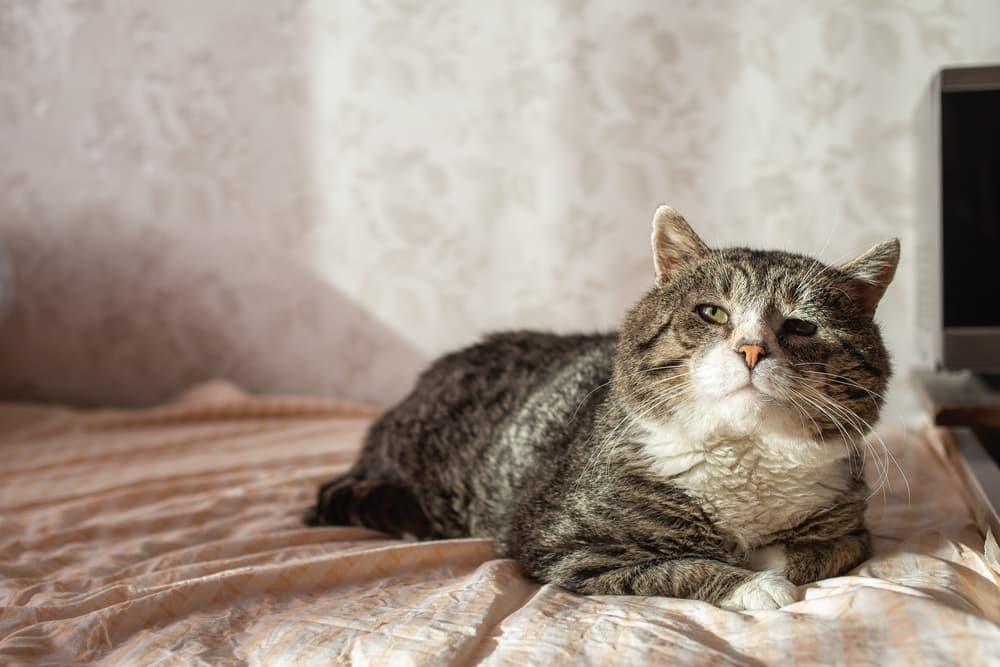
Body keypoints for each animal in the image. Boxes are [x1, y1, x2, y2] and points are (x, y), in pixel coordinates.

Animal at [306, 206, 900, 612]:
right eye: (712, 313)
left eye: (800, 326)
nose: (751, 350)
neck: (745, 455)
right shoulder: (563, 546)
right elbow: (676, 568)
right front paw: (753, 583)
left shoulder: (853, 529)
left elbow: (813, 551)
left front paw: (770, 563)